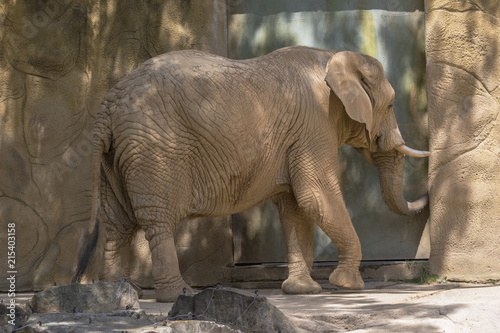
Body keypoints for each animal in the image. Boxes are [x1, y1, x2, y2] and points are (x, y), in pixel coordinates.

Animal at [72, 45, 428, 302]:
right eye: (391, 105)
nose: (426, 193)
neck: (332, 56)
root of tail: (108, 104)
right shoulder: (314, 123)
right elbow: (315, 195)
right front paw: (348, 286)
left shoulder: (297, 135)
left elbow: (296, 208)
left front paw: (303, 291)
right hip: (153, 148)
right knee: (156, 221)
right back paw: (178, 294)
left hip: (116, 153)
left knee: (117, 224)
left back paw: (120, 292)